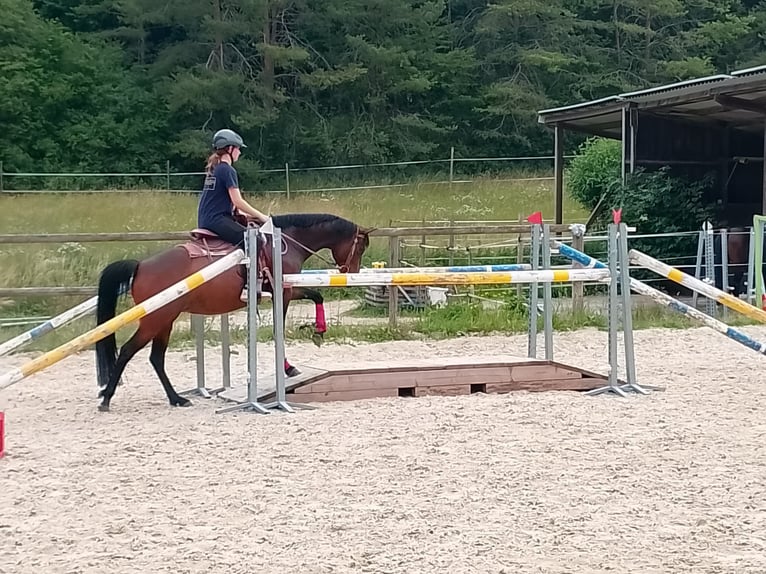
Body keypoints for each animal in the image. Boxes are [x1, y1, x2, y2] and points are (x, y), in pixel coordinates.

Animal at [94, 213, 372, 412]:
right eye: (360, 247)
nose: (352, 272)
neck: (285, 242)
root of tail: (141, 265)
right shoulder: (284, 293)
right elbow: (281, 329)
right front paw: (289, 366)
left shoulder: (288, 291)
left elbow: (316, 296)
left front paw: (318, 332)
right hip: (155, 320)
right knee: (127, 352)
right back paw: (107, 398)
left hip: (165, 321)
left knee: (156, 358)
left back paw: (176, 399)